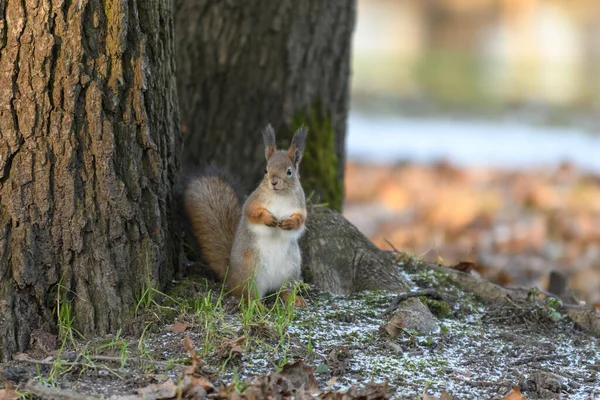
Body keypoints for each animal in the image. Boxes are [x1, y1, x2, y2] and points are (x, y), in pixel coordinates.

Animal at [184, 125, 310, 306]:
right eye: (266, 170)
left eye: (289, 171)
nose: (273, 181)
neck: (279, 195)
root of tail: (231, 276)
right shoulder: (253, 201)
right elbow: (252, 213)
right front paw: (268, 219)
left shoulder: (300, 206)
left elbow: (301, 219)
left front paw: (289, 223)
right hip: (250, 272)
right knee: (247, 295)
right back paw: (257, 304)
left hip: (291, 270)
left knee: (284, 290)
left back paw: (294, 299)